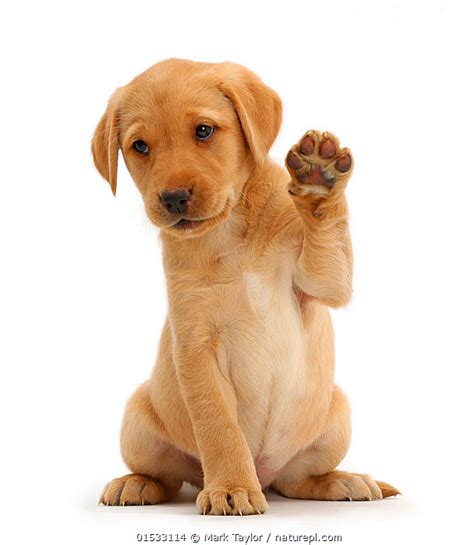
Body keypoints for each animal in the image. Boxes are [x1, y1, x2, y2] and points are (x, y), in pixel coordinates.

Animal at [91, 59, 396, 516]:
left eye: (203, 130)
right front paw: (232, 487)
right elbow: (219, 428)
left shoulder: (319, 282)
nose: (174, 198)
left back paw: (344, 479)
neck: (230, 234)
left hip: (336, 416)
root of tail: (265, 470)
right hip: (138, 420)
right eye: (140, 146)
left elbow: (326, 248)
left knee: (298, 481)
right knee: (168, 477)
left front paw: (317, 180)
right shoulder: (195, 345)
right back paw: (137, 483)